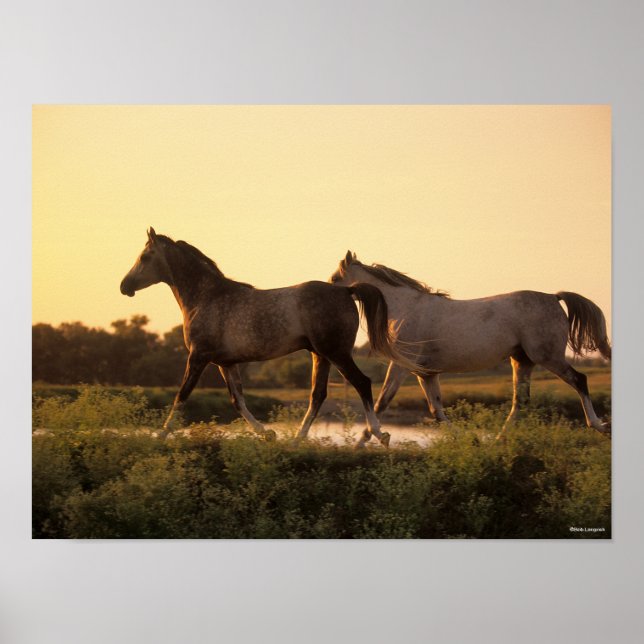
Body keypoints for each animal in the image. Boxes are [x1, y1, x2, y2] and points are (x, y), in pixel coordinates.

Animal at [120, 229, 420, 446]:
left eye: (145, 256)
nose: (124, 286)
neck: (206, 298)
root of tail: (346, 291)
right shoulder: (225, 363)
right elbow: (237, 401)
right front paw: (268, 434)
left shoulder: (198, 357)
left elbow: (181, 395)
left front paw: (160, 435)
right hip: (320, 355)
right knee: (317, 395)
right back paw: (297, 439)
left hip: (336, 352)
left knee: (362, 383)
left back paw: (381, 435)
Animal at [329, 251, 611, 437]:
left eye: (334, 279)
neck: (405, 308)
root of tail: (554, 297)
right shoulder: (426, 373)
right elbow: (436, 410)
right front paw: (469, 439)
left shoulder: (401, 366)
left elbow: (382, 402)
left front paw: (367, 441)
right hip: (522, 361)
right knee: (519, 402)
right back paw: (498, 441)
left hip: (548, 357)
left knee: (579, 381)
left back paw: (598, 425)